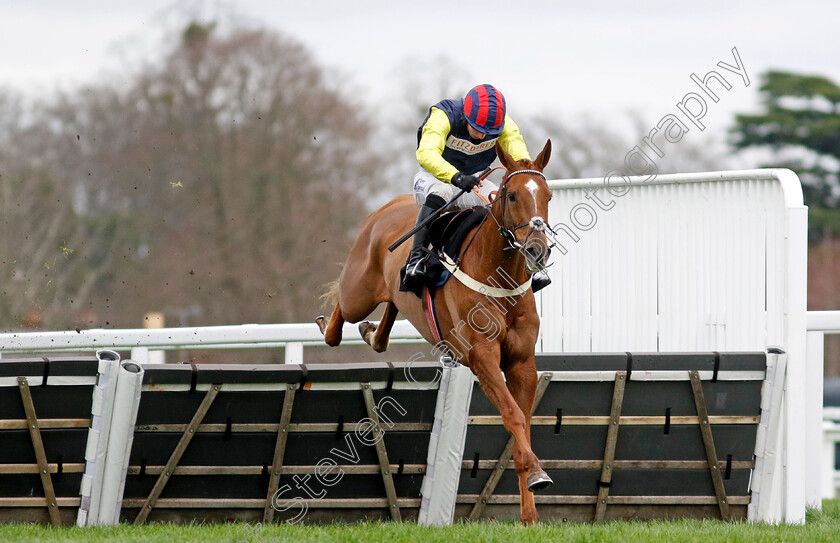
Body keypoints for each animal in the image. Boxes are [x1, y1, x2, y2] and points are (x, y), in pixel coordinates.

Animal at [316, 140, 552, 528]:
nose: (537, 249)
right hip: (358, 293)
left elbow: (524, 423)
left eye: (547, 195)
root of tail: (388, 206)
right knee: (340, 313)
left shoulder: (522, 363)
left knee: (387, 317)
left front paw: (531, 509)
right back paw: (329, 325)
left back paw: (372, 332)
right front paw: (537, 474)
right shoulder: (482, 356)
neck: (497, 275)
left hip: (390, 296)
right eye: (513, 195)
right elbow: (513, 415)